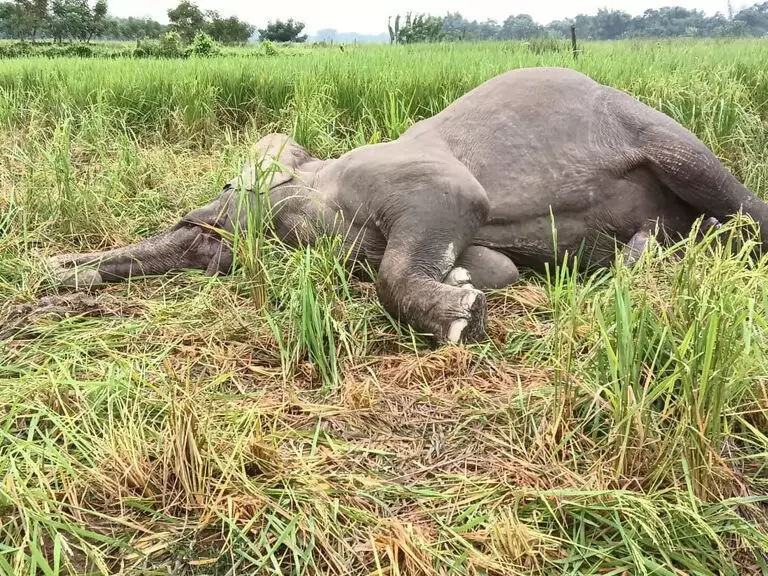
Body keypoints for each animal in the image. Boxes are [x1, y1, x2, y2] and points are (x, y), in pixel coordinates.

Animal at [48, 67, 768, 346]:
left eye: (229, 187)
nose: (50, 271)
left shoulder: (428, 180)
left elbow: (420, 244)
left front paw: (461, 319)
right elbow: (492, 265)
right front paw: (468, 283)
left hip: (665, 139)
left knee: (738, 206)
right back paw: (649, 252)